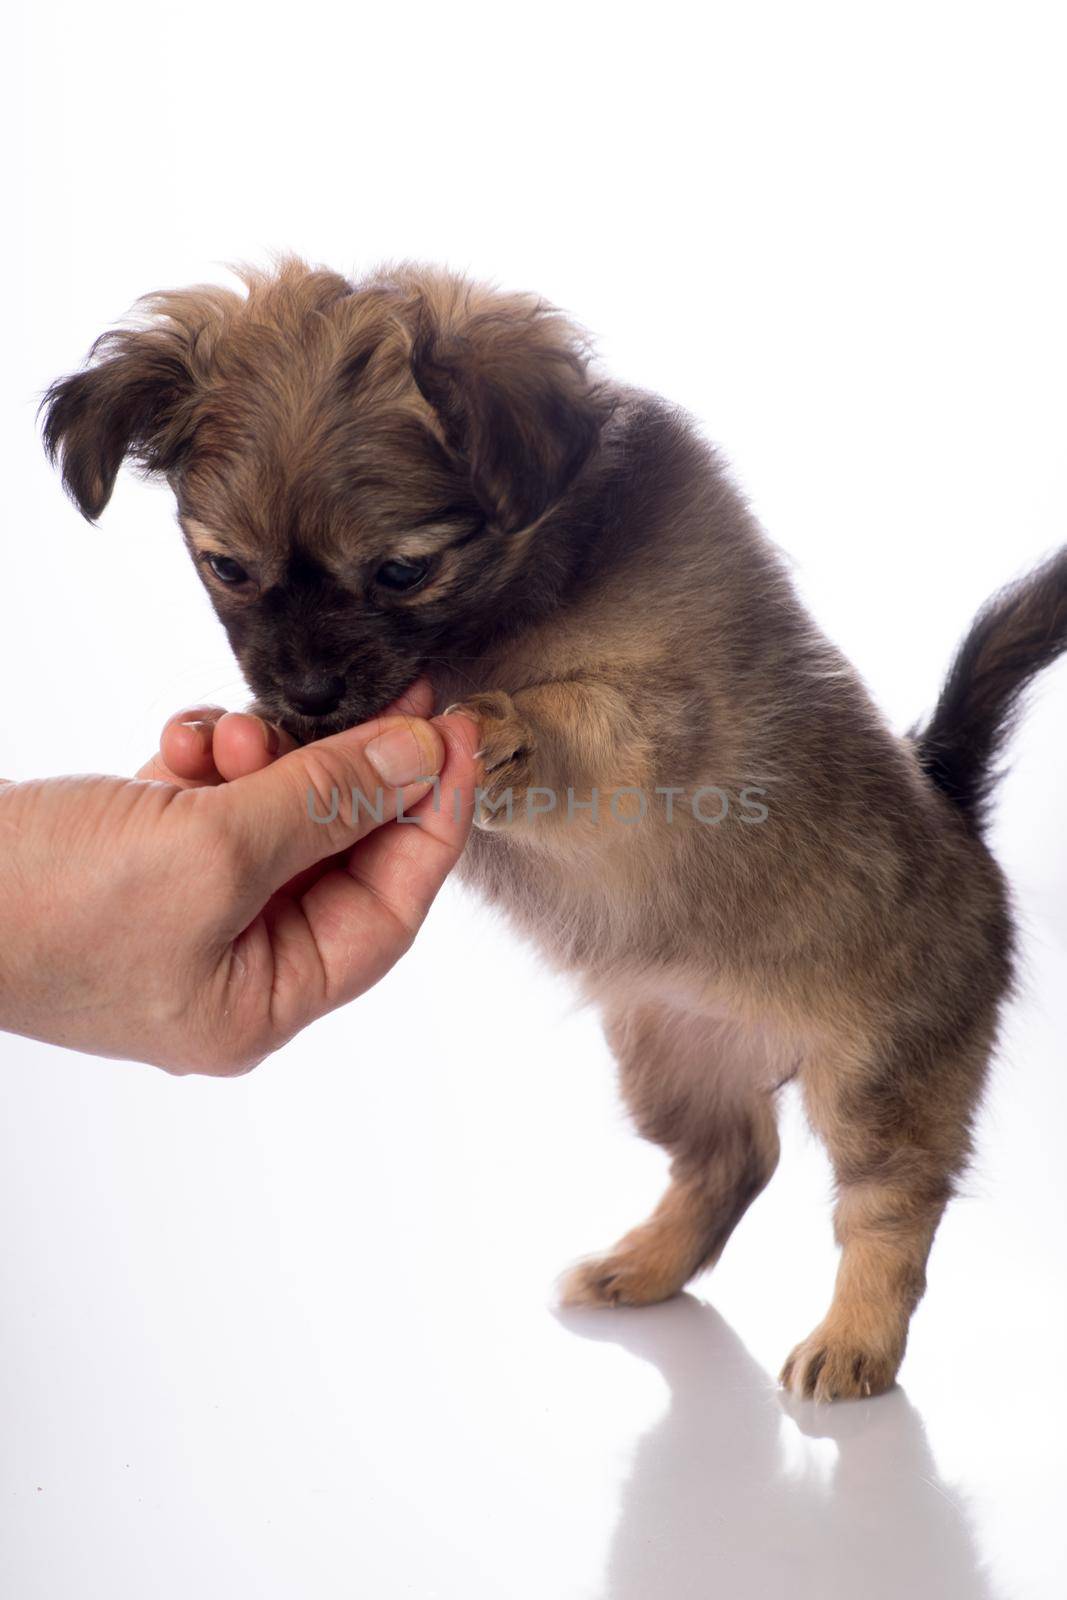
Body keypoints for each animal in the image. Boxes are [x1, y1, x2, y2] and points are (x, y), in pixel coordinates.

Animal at [41, 259, 1067, 1401]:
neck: (507, 603)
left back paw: (854, 1340)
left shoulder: (661, 714)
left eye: (401, 572)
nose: (306, 694)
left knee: (889, 1208)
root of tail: (956, 814)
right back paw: (641, 1265)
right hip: (668, 1060)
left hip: (880, 1078)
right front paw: (246, 741)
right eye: (226, 568)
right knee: (734, 1159)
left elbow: (572, 716)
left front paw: (496, 726)